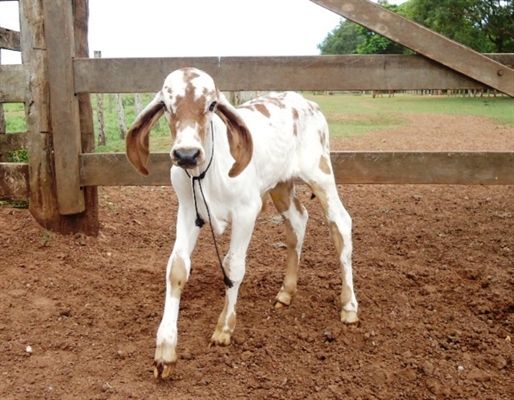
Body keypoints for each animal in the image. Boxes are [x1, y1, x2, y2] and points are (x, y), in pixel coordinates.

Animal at [125, 68, 356, 378]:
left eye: (211, 104)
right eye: (166, 104)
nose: (186, 154)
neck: (207, 173)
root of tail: (308, 103)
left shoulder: (247, 211)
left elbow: (233, 266)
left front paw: (224, 327)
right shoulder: (186, 212)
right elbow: (177, 268)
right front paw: (165, 350)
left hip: (321, 175)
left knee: (340, 223)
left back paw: (349, 306)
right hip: (281, 185)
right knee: (298, 221)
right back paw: (286, 292)